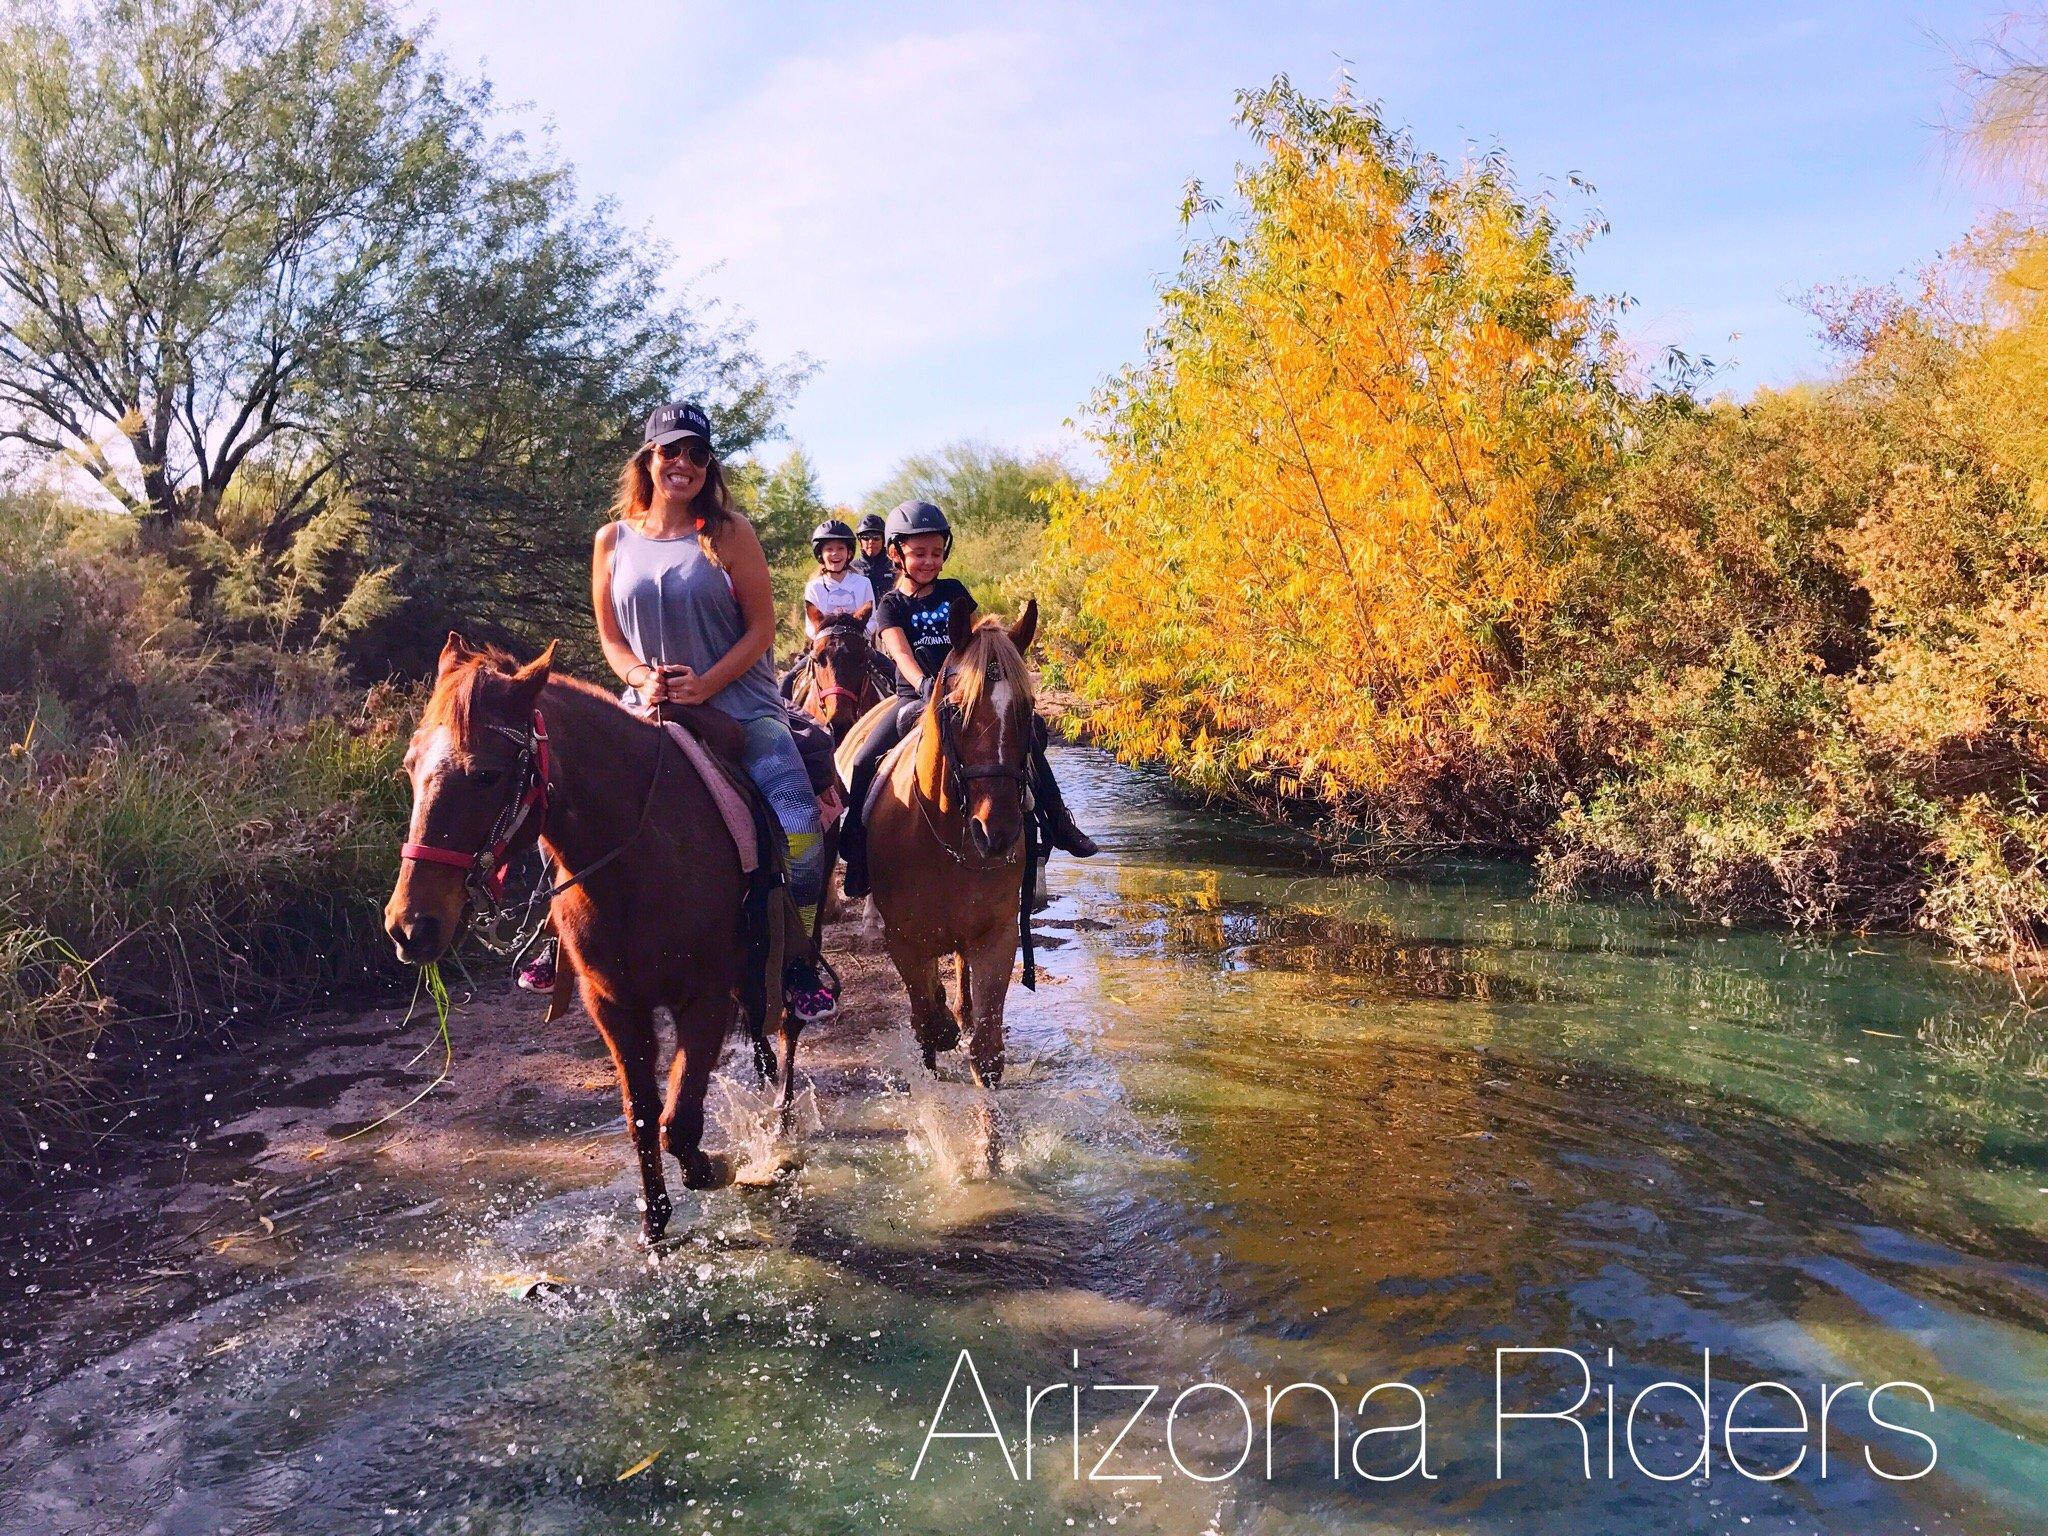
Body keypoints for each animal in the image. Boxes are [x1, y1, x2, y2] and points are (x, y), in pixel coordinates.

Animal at [382, 638, 782, 1253]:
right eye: (410, 766)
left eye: (487, 774)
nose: (410, 925)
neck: (638, 858)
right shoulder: (611, 1004)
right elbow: (642, 1115)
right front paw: (654, 1223)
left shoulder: (704, 997)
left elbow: (679, 1120)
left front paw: (710, 1167)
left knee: (774, 1042)